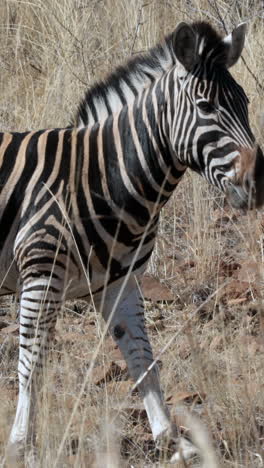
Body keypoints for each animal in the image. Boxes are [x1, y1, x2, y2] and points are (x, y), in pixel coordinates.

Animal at [2, 20, 264, 462]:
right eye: (206, 107)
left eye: (245, 103)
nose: (256, 186)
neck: (103, 176)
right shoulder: (40, 273)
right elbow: (31, 365)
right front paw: (21, 446)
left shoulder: (119, 282)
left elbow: (143, 358)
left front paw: (171, 441)